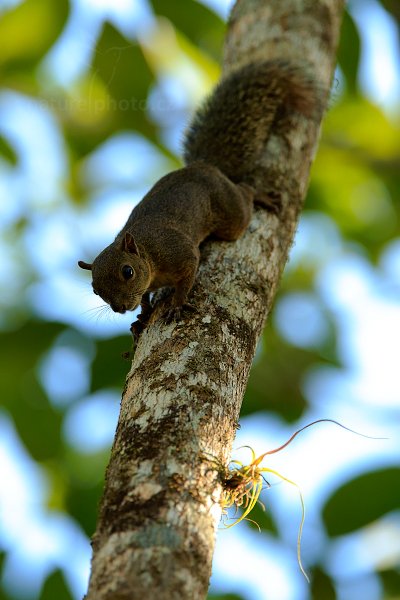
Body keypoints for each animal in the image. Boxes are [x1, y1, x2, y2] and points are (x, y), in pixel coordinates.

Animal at [79, 61, 322, 338]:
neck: (149, 255)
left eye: (127, 271)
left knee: (244, 195)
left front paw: (176, 303)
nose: (119, 308)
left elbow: (187, 274)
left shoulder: (178, 252)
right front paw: (143, 316)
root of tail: (204, 166)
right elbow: (145, 298)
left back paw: (259, 196)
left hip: (230, 214)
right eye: (95, 290)